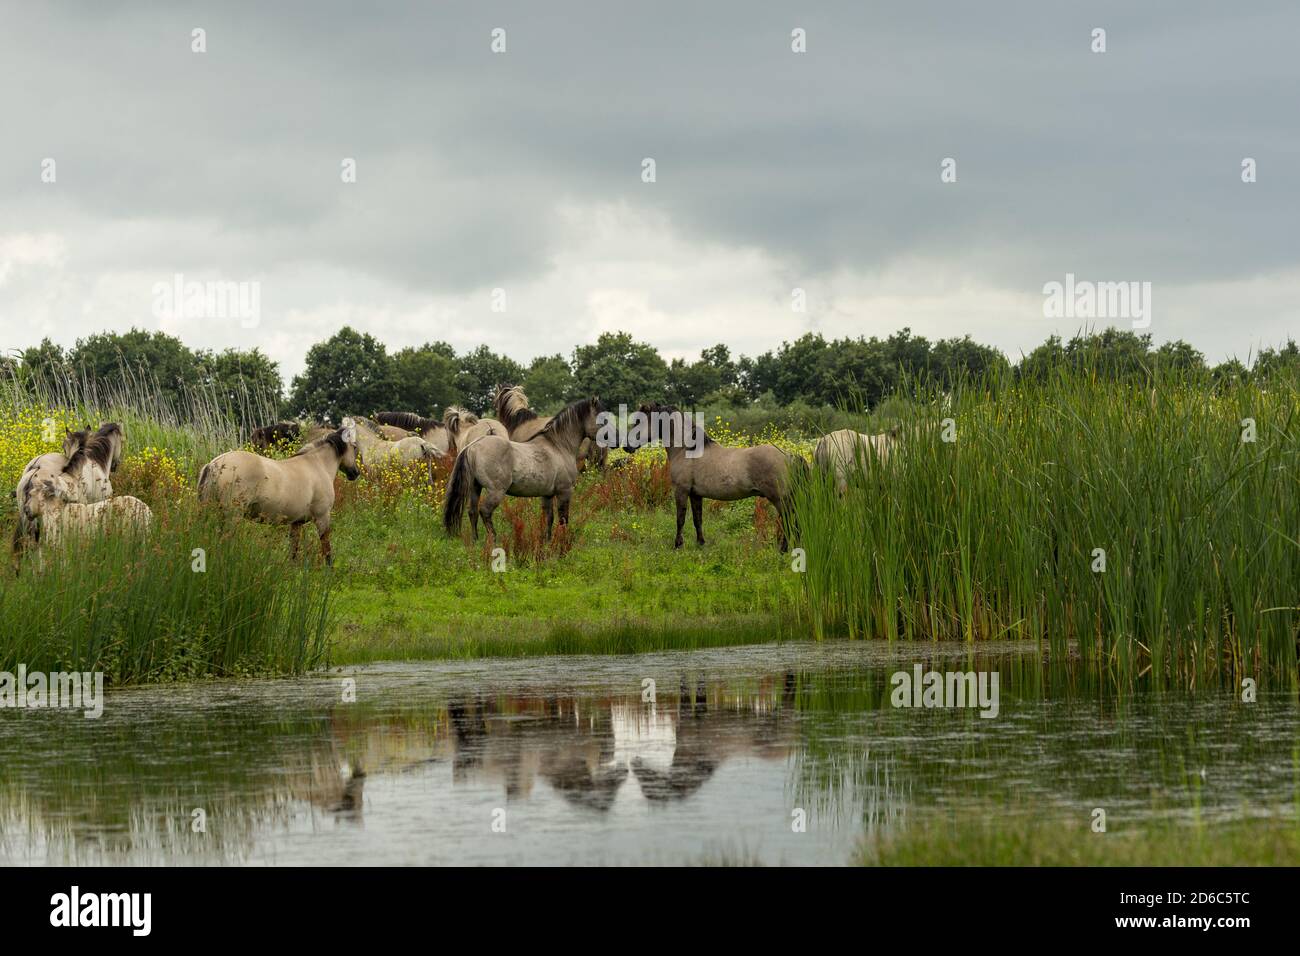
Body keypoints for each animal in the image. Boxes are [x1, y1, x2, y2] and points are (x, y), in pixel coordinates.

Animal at [198, 419, 361, 564]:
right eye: (354, 447)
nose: (355, 473)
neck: (317, 464)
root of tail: (213, 464)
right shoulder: (322, 517)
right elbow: (326, 548)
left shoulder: (296, 523)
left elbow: (293, 550)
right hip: (232, 515)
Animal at [443, 397, 604, 544]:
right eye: (602, 421)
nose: (609, 441)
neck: (558, 446)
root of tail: (473, 446)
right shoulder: (564, 491)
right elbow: (563, 519)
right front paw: (561, 542)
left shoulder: (547, 495)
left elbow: (549, 518)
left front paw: (547, 542)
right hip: (496, 491)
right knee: (485, 511)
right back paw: (494, 540)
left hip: (475, 488)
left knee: (473, 511)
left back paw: (475, 540)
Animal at [623, 403, 800, 551]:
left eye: (639, 423)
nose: (626, 446)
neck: (687, 449)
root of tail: (788, 455)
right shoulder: (695, 494)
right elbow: (697, 519)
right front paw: (701, 543)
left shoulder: (681, 491)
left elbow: (680, 519)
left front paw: (677, 545)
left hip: (779, 499)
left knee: (788, 521)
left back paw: (783, 550)